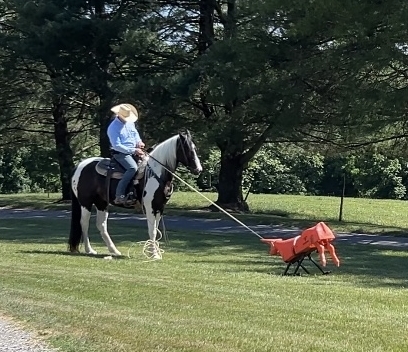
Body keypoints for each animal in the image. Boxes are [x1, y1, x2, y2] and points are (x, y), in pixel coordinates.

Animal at [67, 131, 203, 260]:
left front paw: (155, 252)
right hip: (85, 203)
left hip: (101, 203)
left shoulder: (160, 207)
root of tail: (79, 166)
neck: (155, 173)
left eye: (195, 148)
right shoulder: (149, 207)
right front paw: (154, 254)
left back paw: (114, 251)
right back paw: (89, 250)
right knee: (84, 223)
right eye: (188, 149)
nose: (199, 170)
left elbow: (155, 229)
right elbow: (152, 231)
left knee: (101, 225)